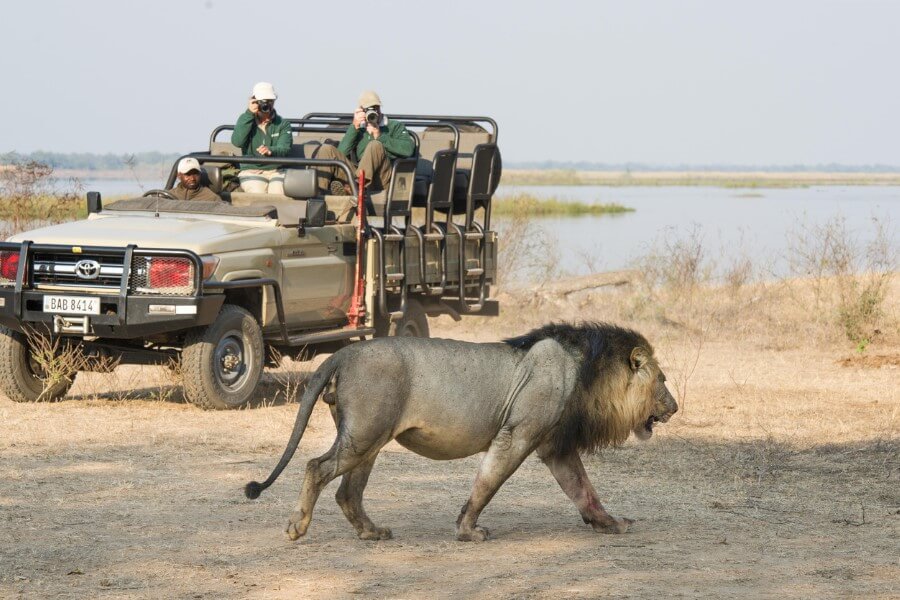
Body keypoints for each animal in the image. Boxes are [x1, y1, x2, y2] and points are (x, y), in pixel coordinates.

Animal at [245, 322, 678, 542]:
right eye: (662, 380)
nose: (674, 407)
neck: (586, 371)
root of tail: (344, 351)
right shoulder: (517, 435)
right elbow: (487, 482)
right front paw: (468, 530)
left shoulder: (556, 447)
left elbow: (584, 490)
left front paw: (609, 524)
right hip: (365, 434)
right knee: (316, 467)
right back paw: (297, 527)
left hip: (368, 438)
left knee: (347, 491)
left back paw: (372, 532)